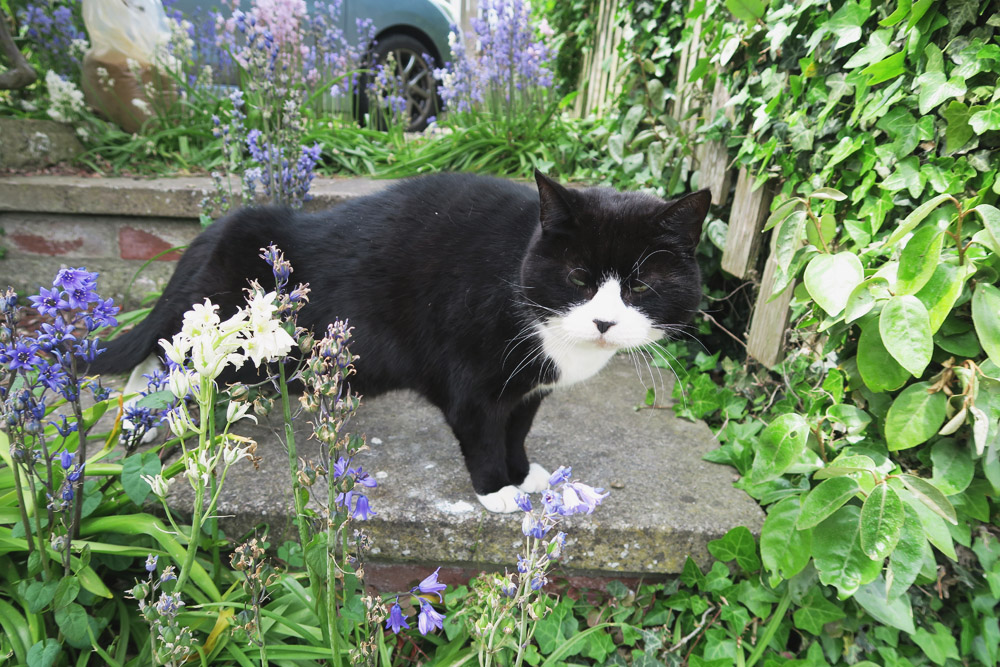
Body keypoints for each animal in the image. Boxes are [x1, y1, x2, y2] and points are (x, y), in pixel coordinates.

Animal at [90, 171, 708, 512]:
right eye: (579, 277)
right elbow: (482, 433)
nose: (604, 322)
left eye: (640, 286)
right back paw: (149, 416)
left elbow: (516, 430)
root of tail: (217, 229)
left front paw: (523, 472)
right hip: (236, 341)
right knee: (176, 355)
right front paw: (497, 490)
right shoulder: (472, 381)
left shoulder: (527, 390)